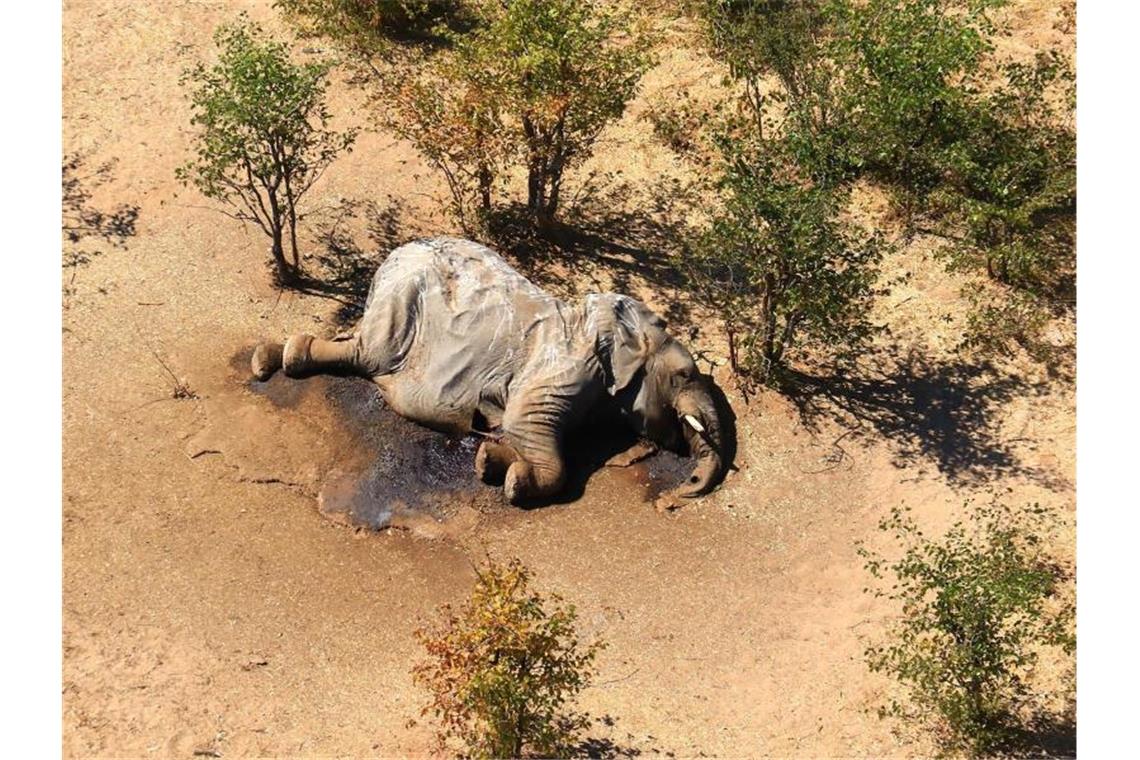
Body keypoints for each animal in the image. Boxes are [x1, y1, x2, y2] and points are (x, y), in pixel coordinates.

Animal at [250, 238, 729, 508]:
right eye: (684, 375)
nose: (678, 496)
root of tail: (394, 254)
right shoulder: (566, 366)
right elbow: (526, 424)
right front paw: (515, 482)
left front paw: (489, 461)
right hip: (401, 300)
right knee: (368, 355)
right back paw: (276, 359)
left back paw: (271, 358)